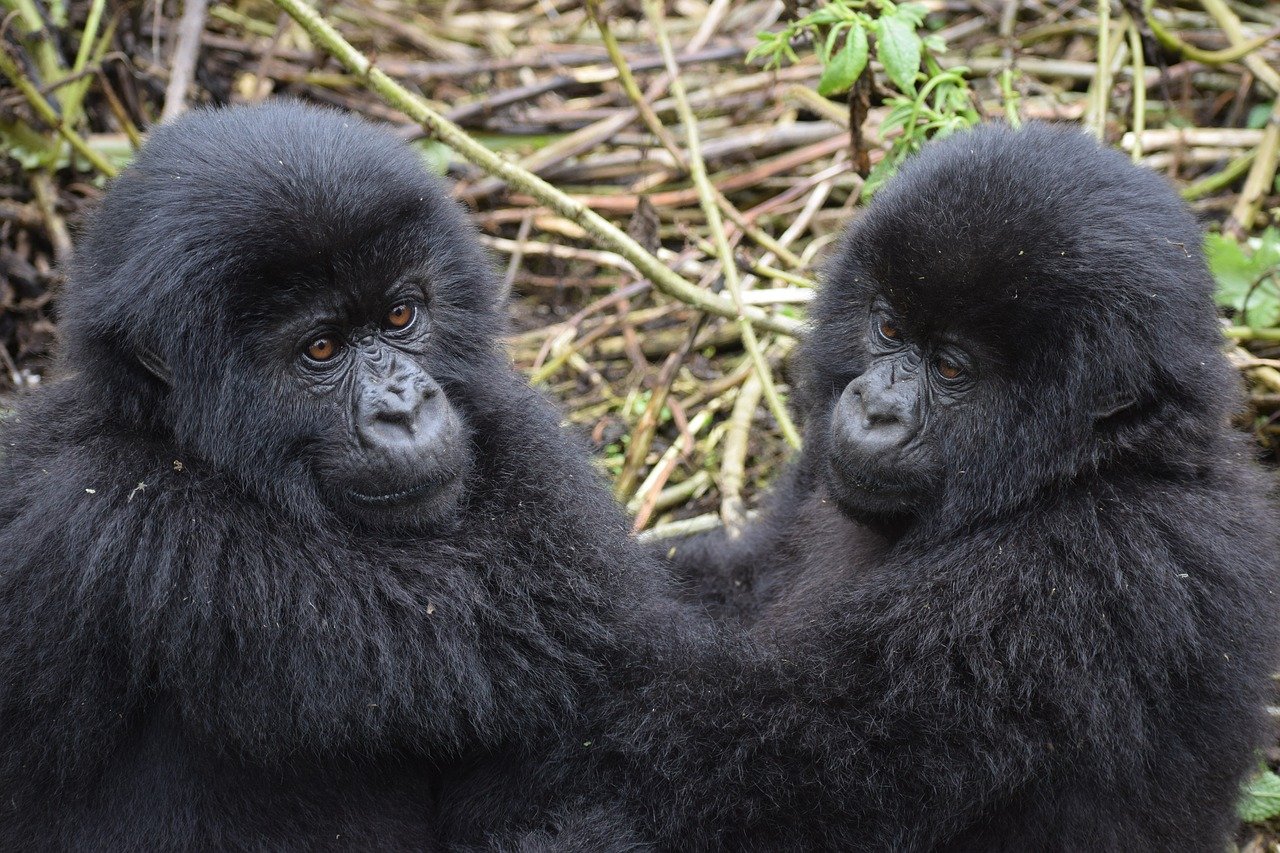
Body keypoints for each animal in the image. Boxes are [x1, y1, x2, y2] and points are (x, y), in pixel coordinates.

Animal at [463, 124, 1280, 850]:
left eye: (950, 367)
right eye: (888, 329)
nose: (876, 407)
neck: (1092, 466)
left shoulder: (1071, 575)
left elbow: (718, 755)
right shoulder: (815, 477)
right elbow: (731, 588)